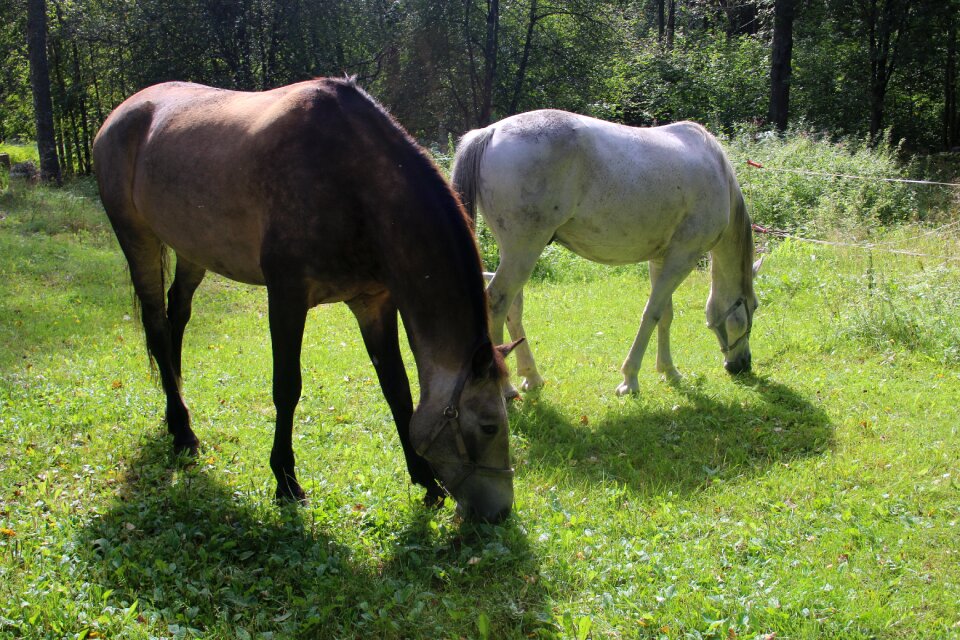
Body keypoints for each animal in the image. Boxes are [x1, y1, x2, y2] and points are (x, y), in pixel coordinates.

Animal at [94, 77, 516, 524]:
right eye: (489, 425)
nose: (500, 511)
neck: (352, 183)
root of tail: (124, 110)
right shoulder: (287, 297)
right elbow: (287, 387)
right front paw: (285, 480)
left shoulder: (374, 303)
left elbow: (397, 390)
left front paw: (425, 482)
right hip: (137, 237)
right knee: (157, 325)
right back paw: (182, 430)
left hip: (192, 248)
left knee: (178, 312)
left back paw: (175, 412)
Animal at [454, 111, 760, 400]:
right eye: (753, 307)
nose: (743, 365)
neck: (717, 172)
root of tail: (490, 131)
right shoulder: (682, 258)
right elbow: (652, 313)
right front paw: (630, 379)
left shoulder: (661, 259)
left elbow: (666, 314)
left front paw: (669, 371)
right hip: (524, 251)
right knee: (498, 303)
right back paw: (505, 388)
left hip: (517, 253)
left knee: (514, 307)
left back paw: (532, 376)